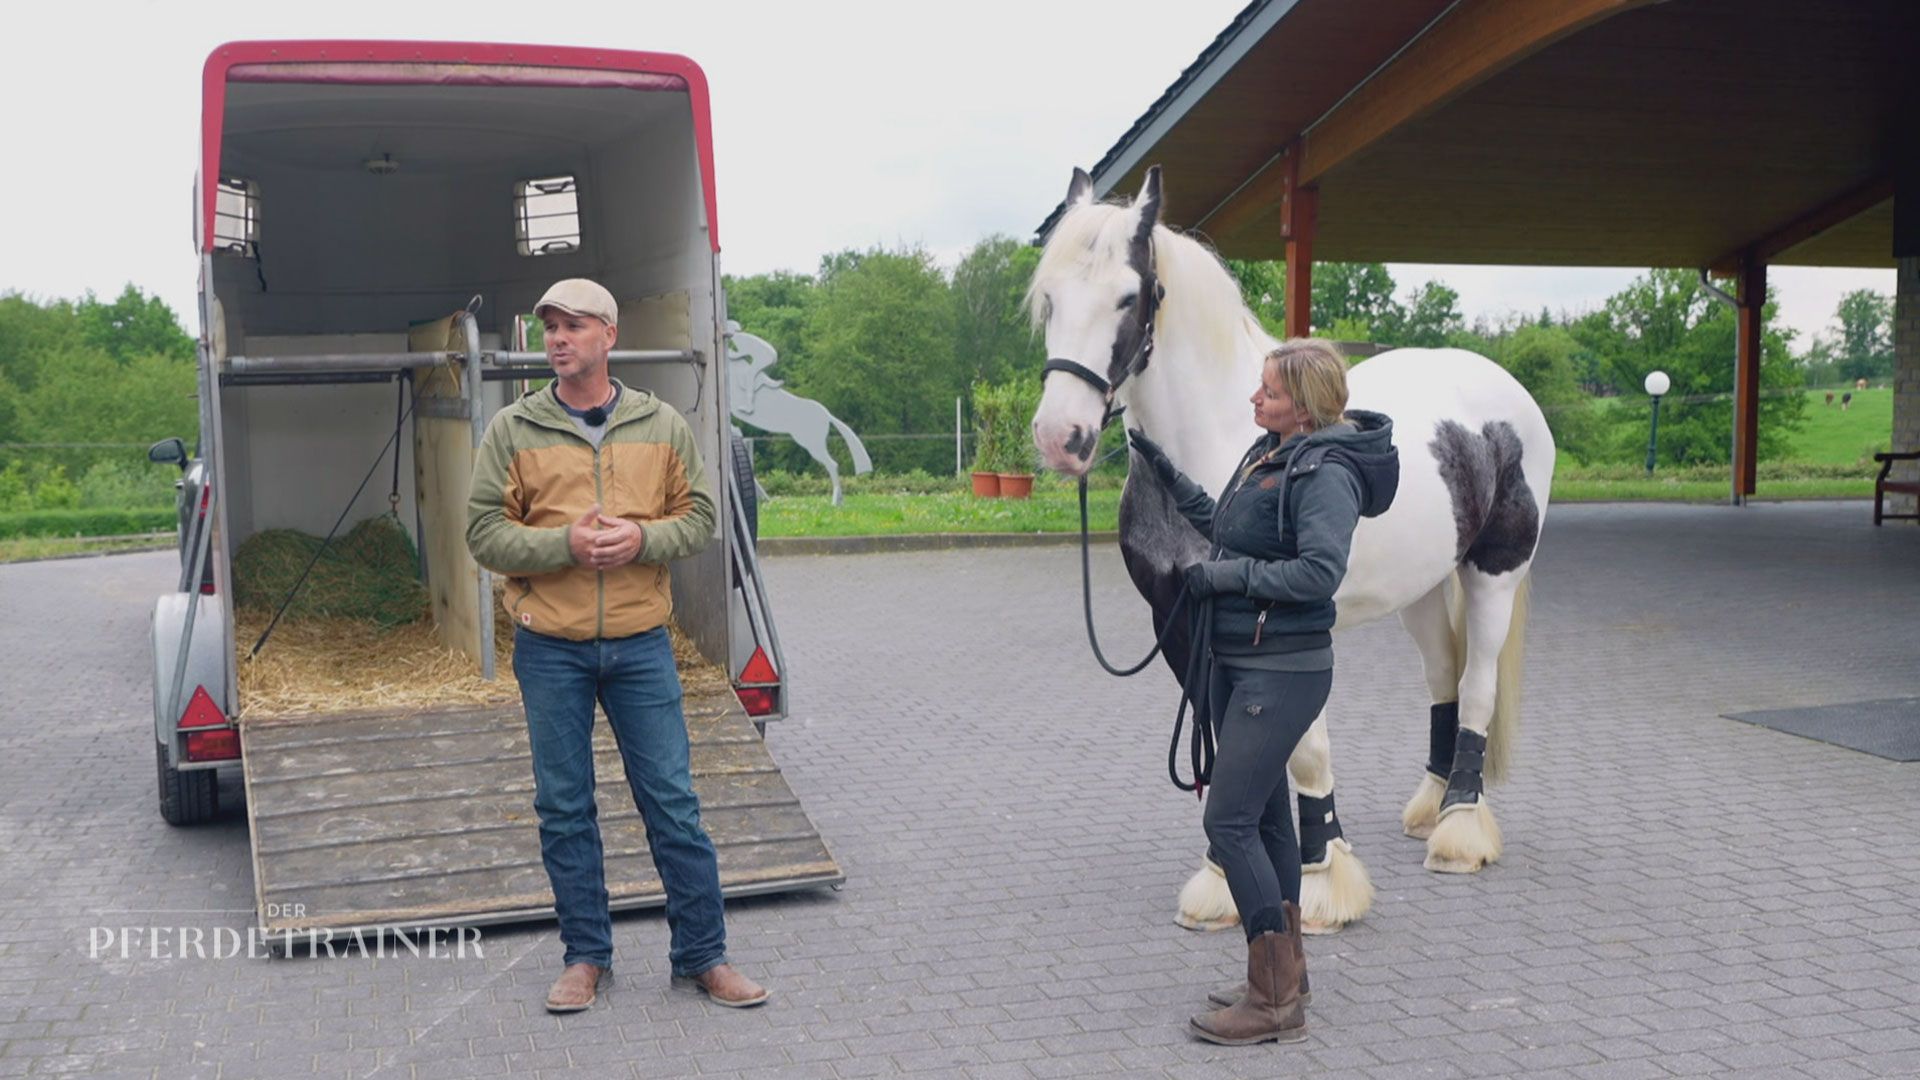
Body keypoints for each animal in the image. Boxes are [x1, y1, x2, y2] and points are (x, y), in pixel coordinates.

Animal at [1029, 164, 1551, 930]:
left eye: (1129, 296)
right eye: (1050, 300)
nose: (1060, 438)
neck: (1226, 440)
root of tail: (1508, 395)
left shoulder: (1289, 628)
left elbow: (1302, 751)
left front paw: (1323, 878)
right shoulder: (1182, 621)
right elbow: (1222, 744)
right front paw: (1224, 878)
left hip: (1495, 574)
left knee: (1479, 684)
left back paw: (1460, 830)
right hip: (1422, 589)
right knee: (1445, 680)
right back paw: (1431, 806)